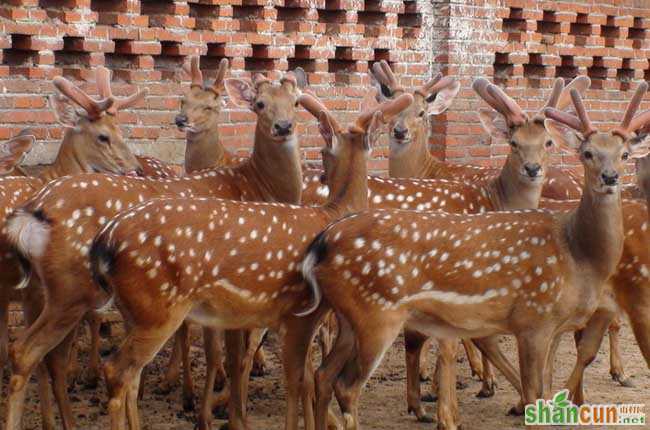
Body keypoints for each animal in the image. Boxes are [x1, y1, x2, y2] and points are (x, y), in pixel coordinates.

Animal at [3, 70, 312, 430]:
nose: (283, 126)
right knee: (36, 353)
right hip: (71, 289)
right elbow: (232, 357)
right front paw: (229, 416)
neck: (255, 185)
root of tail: (33, 210)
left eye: (296, 102)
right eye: (260, 103)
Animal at [302, 85, 648, 430]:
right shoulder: (533, 319)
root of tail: (323, 242)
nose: (610, 177)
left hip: (350, 318)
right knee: (345, 385)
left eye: (624, 154)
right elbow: (531, 388)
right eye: (587, 153)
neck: (578, 255)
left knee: (323, 374)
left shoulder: (553, 324)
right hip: (376, 315)